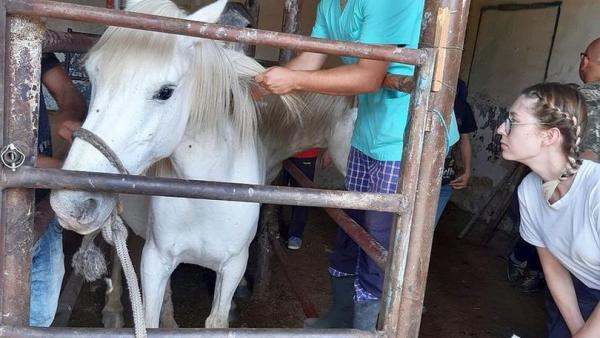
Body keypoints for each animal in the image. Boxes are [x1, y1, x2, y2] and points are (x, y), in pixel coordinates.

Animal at [51, 0, 354, 328]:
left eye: (165, 92)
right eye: (93, 77)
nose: (69, 204)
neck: (208, 192)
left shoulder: (232, 266)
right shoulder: (155, 262)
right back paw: (114, 309)